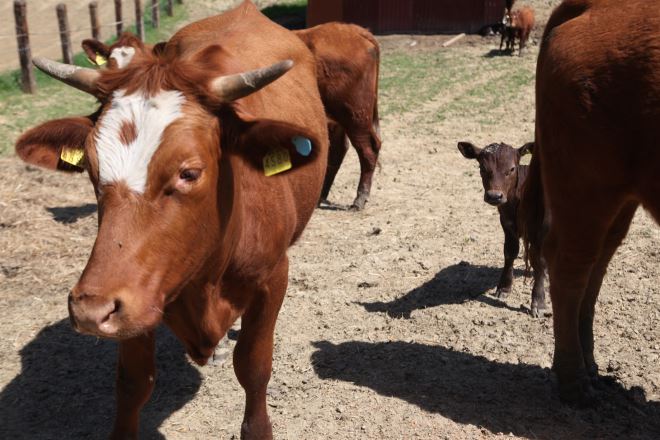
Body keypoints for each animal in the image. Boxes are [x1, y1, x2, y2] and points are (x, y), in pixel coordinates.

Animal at [14, 1, 328, 438]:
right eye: (91, 169)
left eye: (189, 173)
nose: (91, 310)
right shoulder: (138, 291)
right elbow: (133, 380)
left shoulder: (273, 277)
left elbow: (253, 366)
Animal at [458, 141, 547, 317]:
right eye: (482, 168)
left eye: (512, 168)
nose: (494, 196)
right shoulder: (507, 223)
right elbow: (510, 252)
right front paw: (504, 288)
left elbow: (539, 260)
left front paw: (538, 302)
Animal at [521, 0, 660, 405]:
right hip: (588, 189)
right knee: (571, 264)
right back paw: (577, 384)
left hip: (619, 196)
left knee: (595, 264)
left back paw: (591, 368)